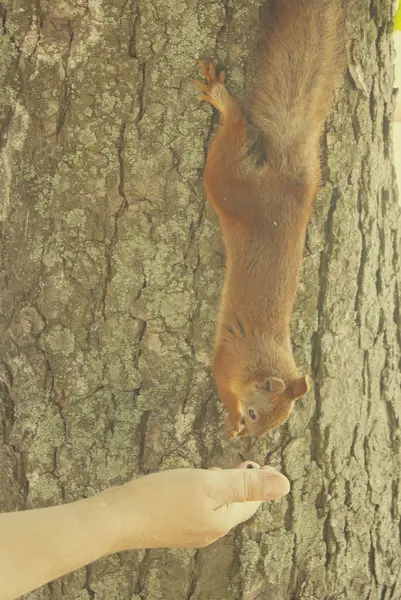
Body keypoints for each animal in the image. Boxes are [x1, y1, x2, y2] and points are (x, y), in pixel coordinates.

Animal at [194, 0, 344, 440]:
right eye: (256, 414)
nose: (249, 437)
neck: (261, 361)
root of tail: (290, 183)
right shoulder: (227, 359)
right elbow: (221, 382)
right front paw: (230, 421)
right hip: (232, 190)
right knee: (233, 134)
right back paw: (223, 100)